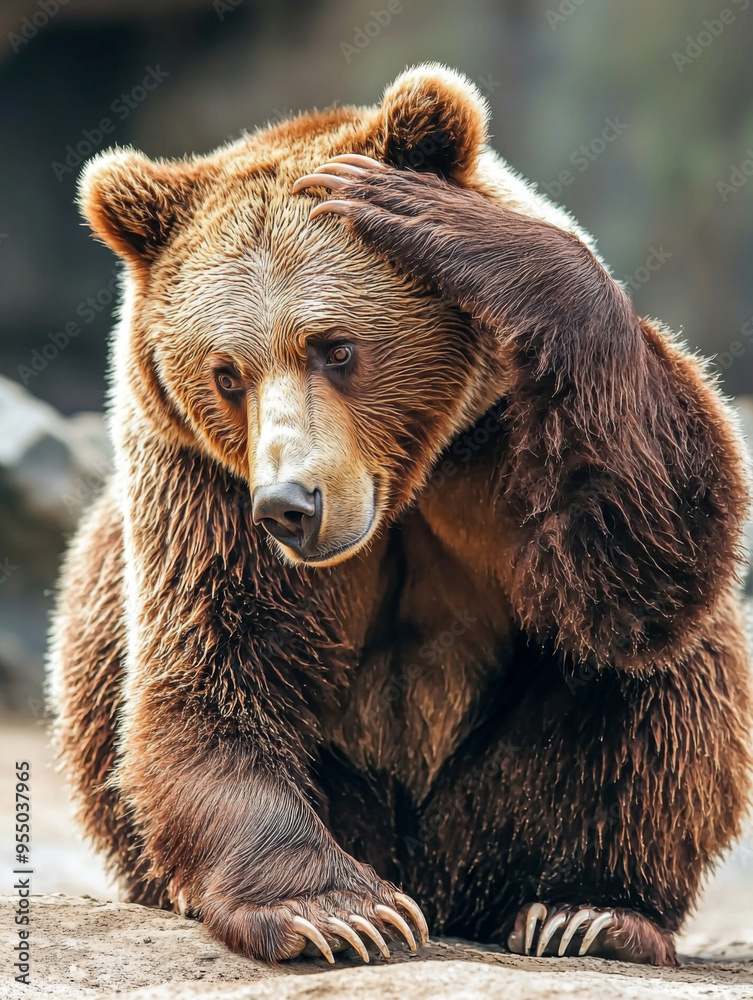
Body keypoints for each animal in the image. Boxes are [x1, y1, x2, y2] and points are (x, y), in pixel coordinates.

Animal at [48, 63, 752, 967]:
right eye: (226, 373)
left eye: (336, 347)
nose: (289, 505)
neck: (408, 482)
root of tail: (442, 879)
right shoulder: (199, 487)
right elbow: (215, 669)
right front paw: (336, 911)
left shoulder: (504, 447)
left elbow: (634, 573)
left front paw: (433, 219)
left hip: (491, 806)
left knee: (668, 689)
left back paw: (589, 911)